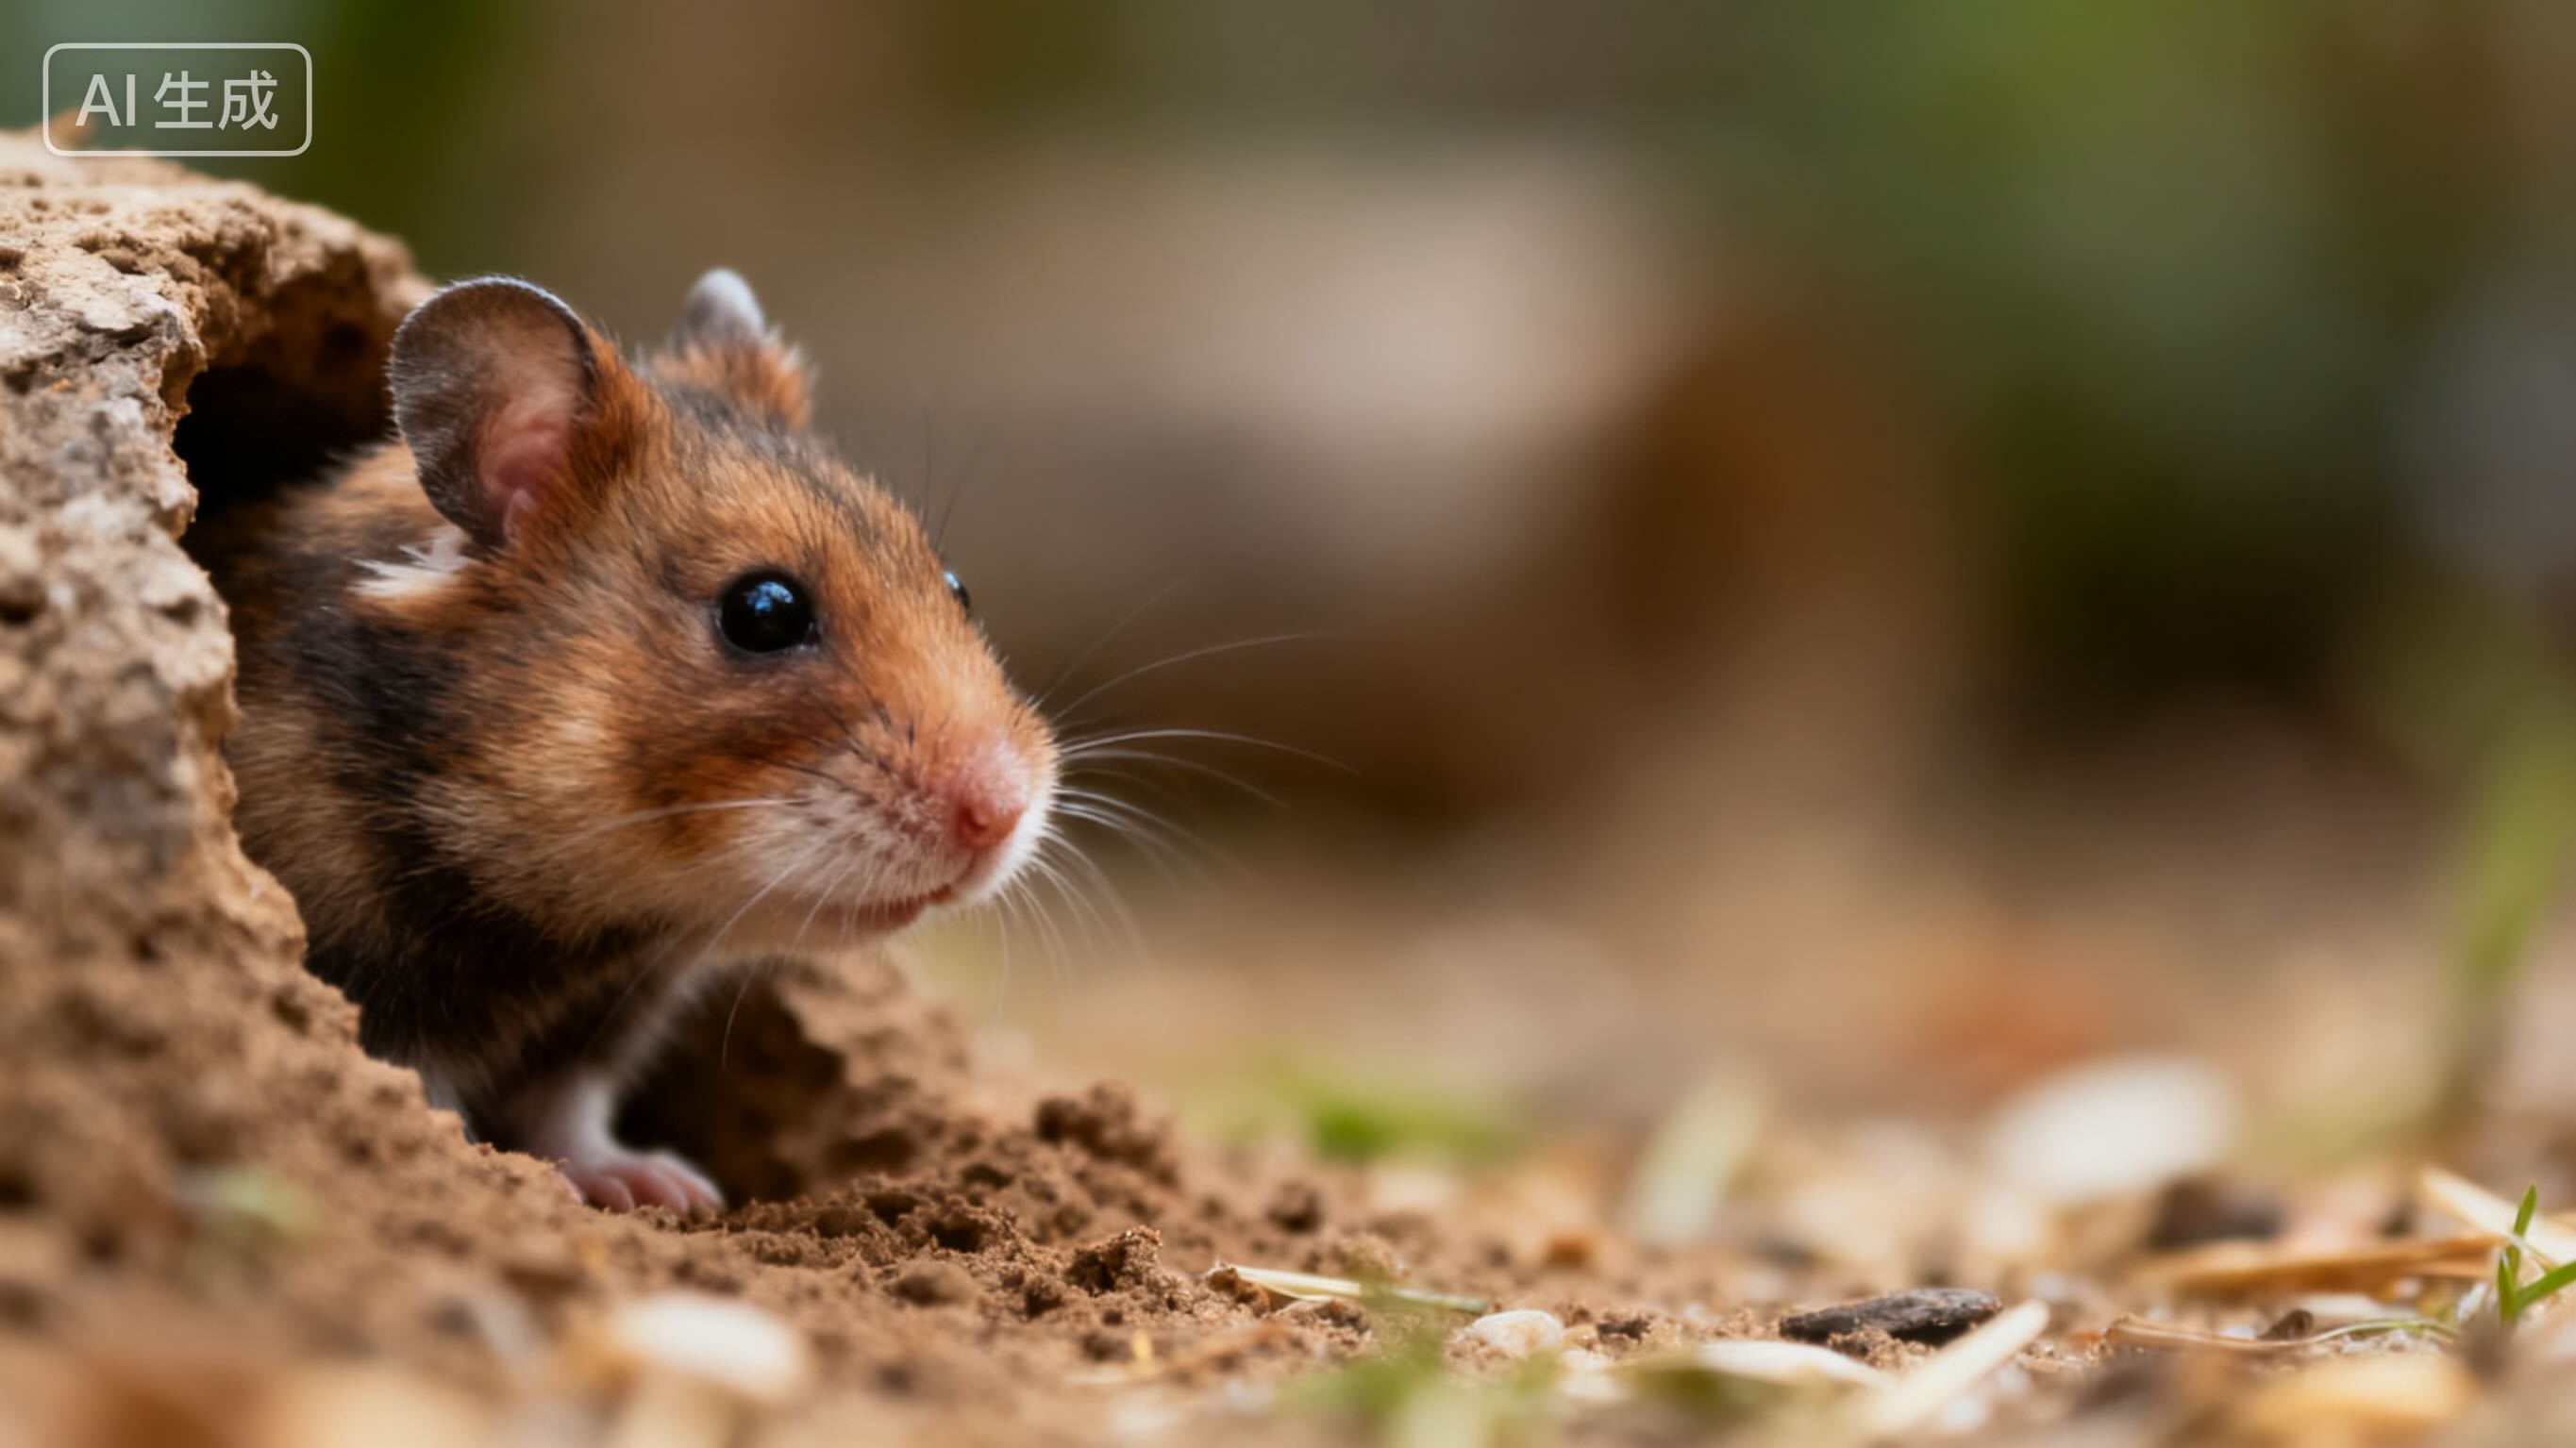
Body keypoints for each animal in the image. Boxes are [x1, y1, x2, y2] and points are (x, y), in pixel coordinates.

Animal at [189, 271, 1058, 1215]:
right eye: (764, 611)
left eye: (956, 586)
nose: (1003, 814)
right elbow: (428, 1093)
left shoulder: (600, 1019)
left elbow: (570, 1108)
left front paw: (670, 1189)